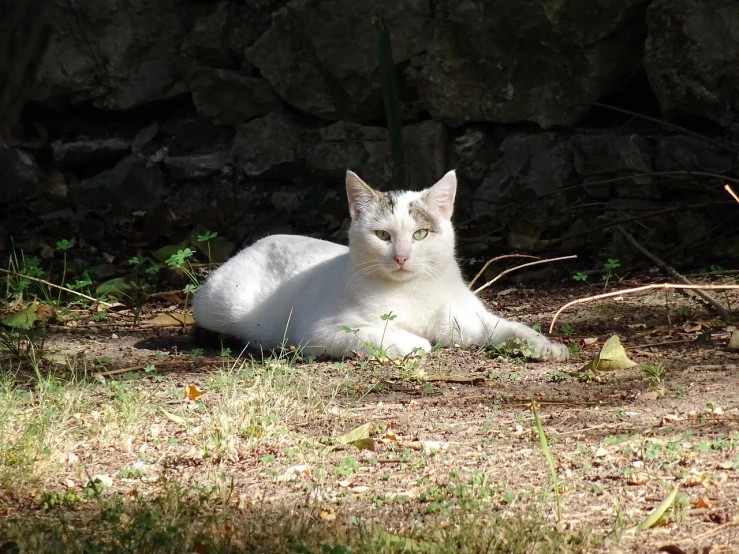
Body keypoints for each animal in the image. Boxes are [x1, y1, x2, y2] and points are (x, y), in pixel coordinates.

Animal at [189, 168, 568, 360]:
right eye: (383, 235)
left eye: (420, 234)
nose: (401, 256)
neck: (413, 291)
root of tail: (257, 242)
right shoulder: (321, 331)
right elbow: (385, 335)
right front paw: (415, 343)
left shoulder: (469, 320)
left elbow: (511, 329)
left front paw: (546, 346)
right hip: (224, 306)